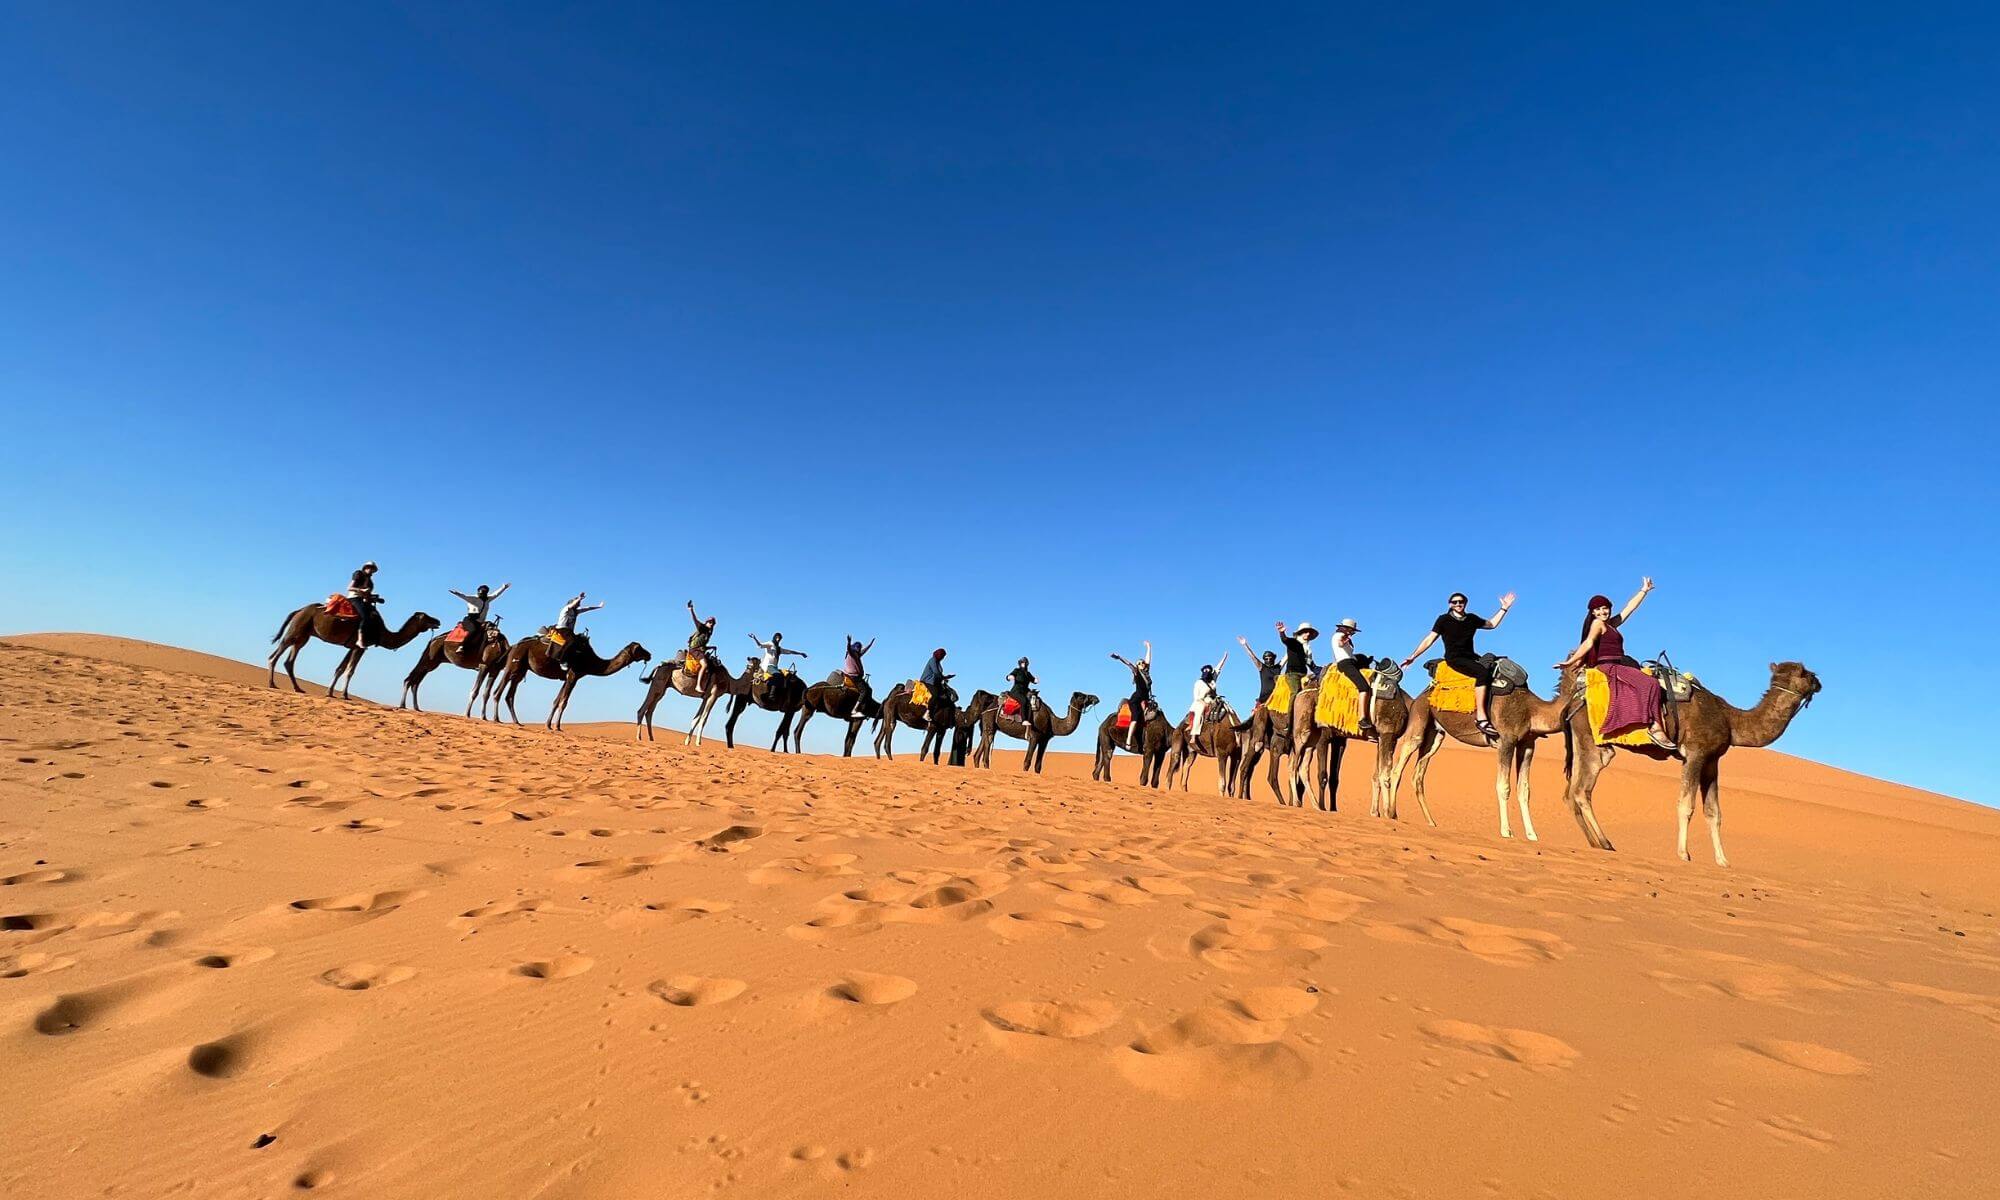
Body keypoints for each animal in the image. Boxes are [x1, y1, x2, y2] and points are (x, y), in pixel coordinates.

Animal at [268, 604, 440, 700]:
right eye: (425, 617)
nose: (437, 621)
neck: (381, 632)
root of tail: (299, 610)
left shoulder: (351, 646)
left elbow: (340, 669)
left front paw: (329, 692)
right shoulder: (361, 647)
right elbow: (350, 671)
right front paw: (344, 695)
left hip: (304, 635)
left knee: (289, 660)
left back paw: (298, 688)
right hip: (297, 629)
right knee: (275, 654)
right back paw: (272, 684)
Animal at [494, 628, 656, 732]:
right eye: (639, 649)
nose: (649, 655)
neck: (591, 660)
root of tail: (513, 646)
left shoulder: (567, 678)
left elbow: (556, 700)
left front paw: (548, 725)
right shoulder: (574, 675)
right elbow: (564, 702)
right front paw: (558, 727)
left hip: (522, 669)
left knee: (510, 695)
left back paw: (517, 722)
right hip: (513, 664)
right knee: (498, 691)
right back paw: (496, 719)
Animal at [964, 688, 1096, 772]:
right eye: (1082, 695)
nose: (1095, 697)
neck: (1052, 721)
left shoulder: (1044, 740)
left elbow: (1038, 766)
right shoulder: (1034, 737)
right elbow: (1027, 762)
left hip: (988, 724)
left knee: (982, 743)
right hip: (990, 719)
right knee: (989, 740)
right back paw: (986, 766)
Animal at [1392, 680, 1560, 840]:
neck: (1531, 710)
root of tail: (1418, 698)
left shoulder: (1528, 745)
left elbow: (1524, 790)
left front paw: (1532, 835)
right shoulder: (1506, 741)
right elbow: (1503, 786)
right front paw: (1506, 831)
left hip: (1435, 735)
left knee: (1418, 776)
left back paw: (1431, 822)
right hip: (1418, 720)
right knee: (1398, 768)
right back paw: (1391, 814)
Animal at [1560, 660, 1832, 868]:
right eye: (1807, 673)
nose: (1819, 683)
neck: (1731, 720)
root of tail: (1573, 701)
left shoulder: (1712, 760)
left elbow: (1714, 813)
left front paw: (1723, 861)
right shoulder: (1695, 753)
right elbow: (1686, 805)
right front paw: (1683, 854)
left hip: (1579, 740)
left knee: (1571, 792)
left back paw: (1594, 843)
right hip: (1594, 743)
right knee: (1582, 790)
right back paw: (1606, 842)